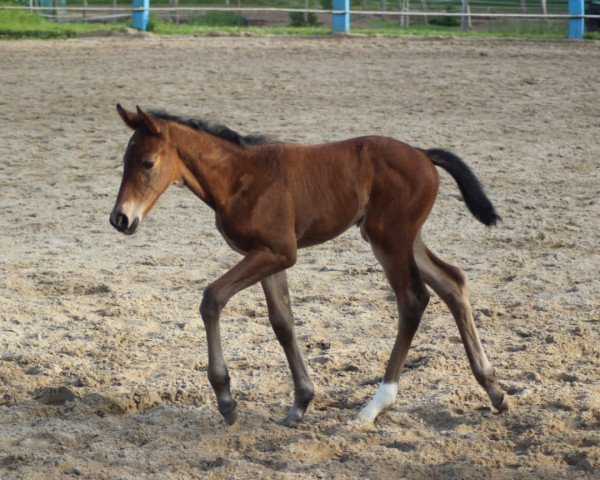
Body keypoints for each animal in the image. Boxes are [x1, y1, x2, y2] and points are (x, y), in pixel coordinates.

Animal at [110, 106, 508, 428]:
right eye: (124, 161)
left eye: (146, 163)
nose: (120, 219)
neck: (239, 178)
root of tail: (423, 155)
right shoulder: (269, 256)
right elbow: (282, 322)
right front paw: (300, 402)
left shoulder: (278, 252)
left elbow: (212, 298)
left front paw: (227, 401)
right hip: (403, 238)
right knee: (452, 282)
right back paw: (493, 389)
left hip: (389, 239)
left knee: (412, 300)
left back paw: (375, 406)